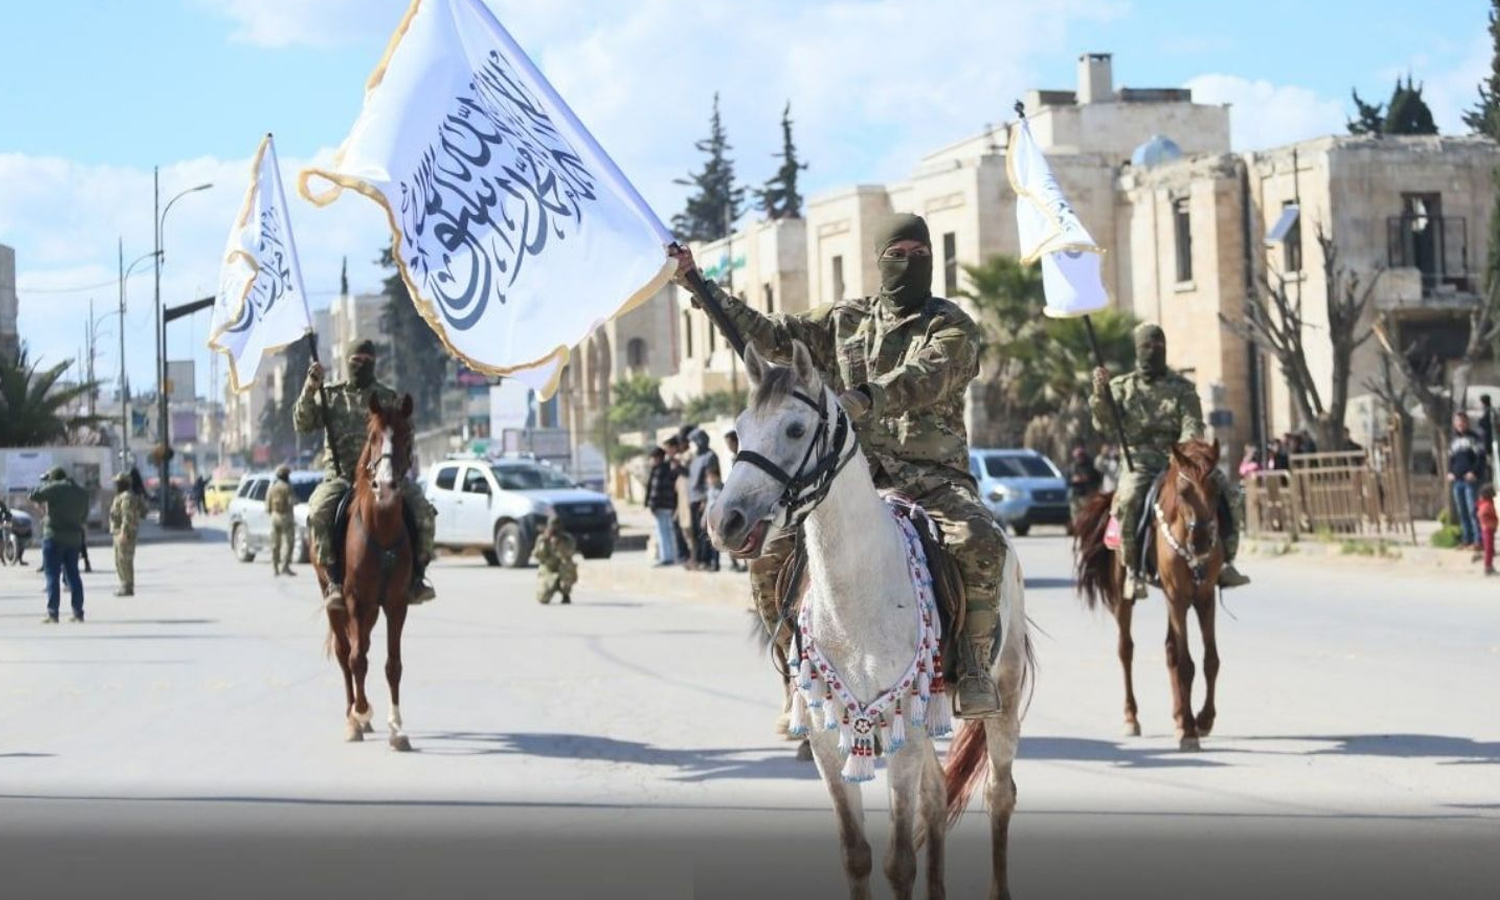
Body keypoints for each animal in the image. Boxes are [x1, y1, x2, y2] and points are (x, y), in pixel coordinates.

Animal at [312, 396, 417, 753]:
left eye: (406, 436)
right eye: (372, 437)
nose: (384, 485)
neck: (381, 528)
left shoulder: (396, 604)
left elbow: (393, 665)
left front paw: (397, 728)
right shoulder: (355, 602)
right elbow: (356, 660)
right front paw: (359, 712)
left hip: (372, 609)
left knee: (365, 647)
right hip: (335, 599)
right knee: (347, 654)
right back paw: (353, 717)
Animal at [711, 343, 1032, 900]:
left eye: (795, 429)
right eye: (741, 428)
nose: (725, 520)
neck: (855, 599)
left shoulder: (902, 727)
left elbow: (899, 861)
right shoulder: (827, 740)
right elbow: (856, 854)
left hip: (1002, 693)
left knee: (999, 792)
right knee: (938, 793)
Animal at [1074, 438, 1224, 750]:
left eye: (1216, 490)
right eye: (1184, 491)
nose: (1202, 541)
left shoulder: (1204, 597)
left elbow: (1210, 660)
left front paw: (1203, 720)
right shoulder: (1177, 596)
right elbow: (1186, 664)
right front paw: (1190, 730)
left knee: (1170, 650)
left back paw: (1179, 716)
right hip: (1124, 597)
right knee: (1126, 650)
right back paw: (1132, 718)